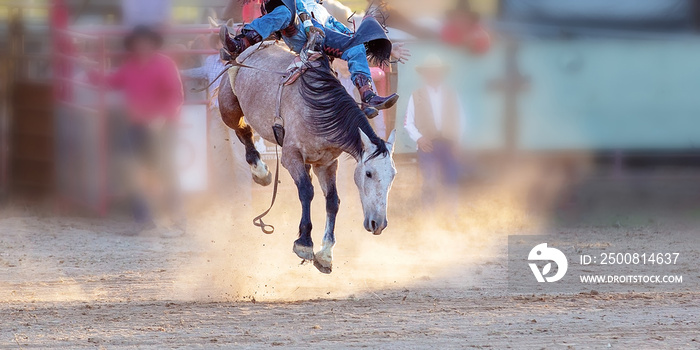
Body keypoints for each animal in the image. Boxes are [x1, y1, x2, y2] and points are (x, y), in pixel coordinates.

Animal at [216, 41, 396, 274]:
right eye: (368, 173)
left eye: (393, 176)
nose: (378, 224)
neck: (320, 108)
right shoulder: (291, 157)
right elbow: (306, 192)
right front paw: (304, 243)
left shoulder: (327, 164)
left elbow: (332, 201)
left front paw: (326, 253)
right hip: (228, 109)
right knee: (243, 130)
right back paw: (261, 172)